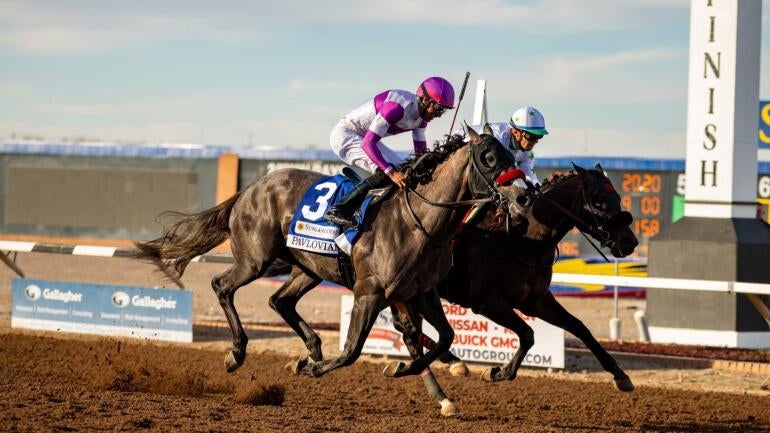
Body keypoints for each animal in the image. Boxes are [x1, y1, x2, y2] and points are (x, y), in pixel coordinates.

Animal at [134, 124, 523, 382]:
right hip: (255, 260)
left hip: (308, 268)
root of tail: (250, 189)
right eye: (489, 157)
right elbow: (352, 351)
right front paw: (318, 368)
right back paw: (238, 352)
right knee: (222, 286)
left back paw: (311, 348)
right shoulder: (370, 292)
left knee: (279, 301)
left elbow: (445, 337)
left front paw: (401, 366)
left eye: (511, 155)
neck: (419, 222)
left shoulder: (422, 292)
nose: (522, 196)